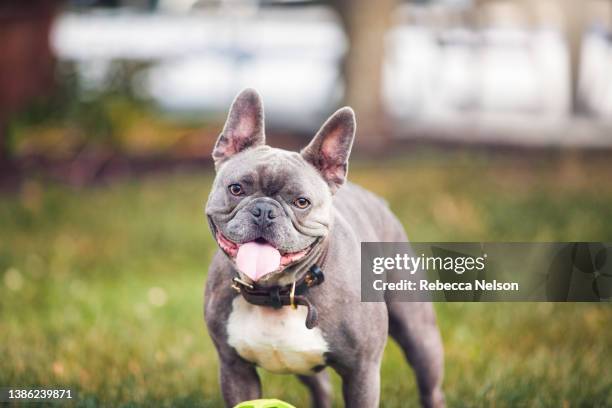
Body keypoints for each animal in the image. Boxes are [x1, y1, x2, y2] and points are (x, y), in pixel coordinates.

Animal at [206, 89, 444, 408]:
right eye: (236, 189)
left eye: (301, 202)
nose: (264, 211)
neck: (278, 293)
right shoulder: (235, 369)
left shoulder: (362, 371)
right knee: (320, 387)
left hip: (418, 332)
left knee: (429, 383)